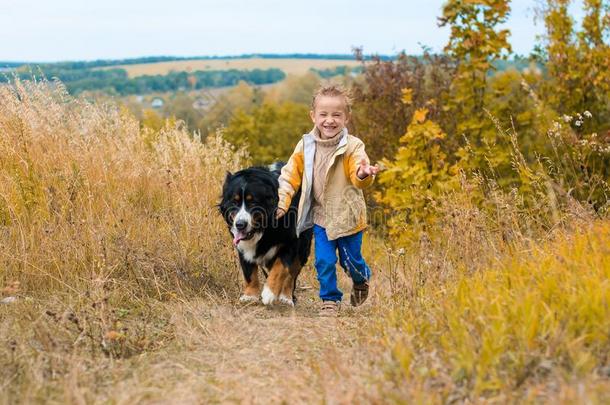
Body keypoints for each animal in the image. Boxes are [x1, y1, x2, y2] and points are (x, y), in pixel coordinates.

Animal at [218, 163, 312, 304]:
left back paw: (286, 297)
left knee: (292, 273)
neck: (264, 229)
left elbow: (280, 268)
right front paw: (250, 295)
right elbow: (249, 272)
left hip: (303, 247)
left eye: (253, 202)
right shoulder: (242, 246)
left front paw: (269, 293)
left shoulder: (291, 242)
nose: (240, 224)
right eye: (234, 202)